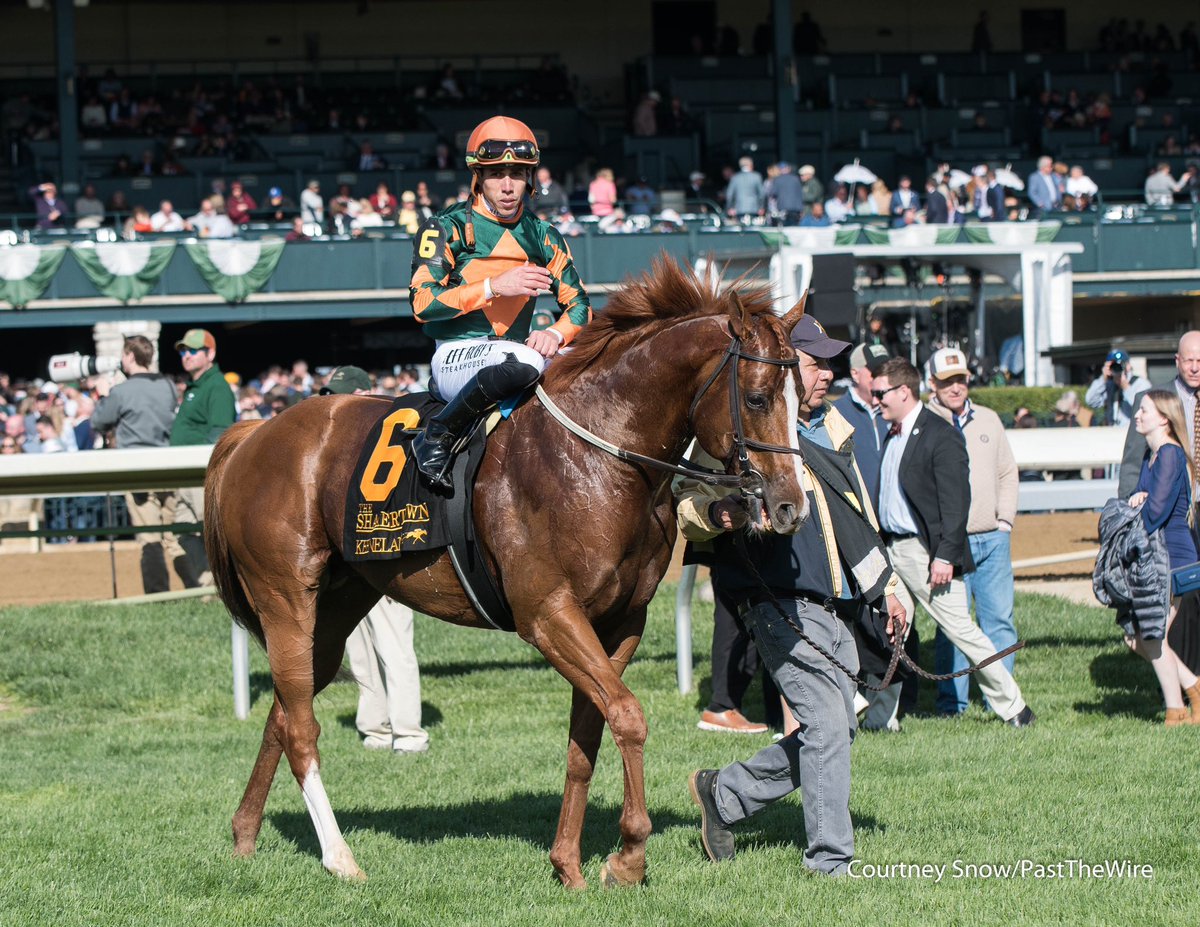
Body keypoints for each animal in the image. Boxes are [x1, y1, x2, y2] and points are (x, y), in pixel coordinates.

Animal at [206, 256, 811, 888]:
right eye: (760, 398)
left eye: (804, 398)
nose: (792, 505)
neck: (600, 454)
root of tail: (254, 433)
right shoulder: (547, 615)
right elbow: (627, 715)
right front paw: (628, 857)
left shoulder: (620, 622)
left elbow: (587, 735)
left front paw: (568, 863)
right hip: (285, 597)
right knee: (301, 727)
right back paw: (340, 857)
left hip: (336, 608)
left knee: (283, 711)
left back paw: (245, 835)